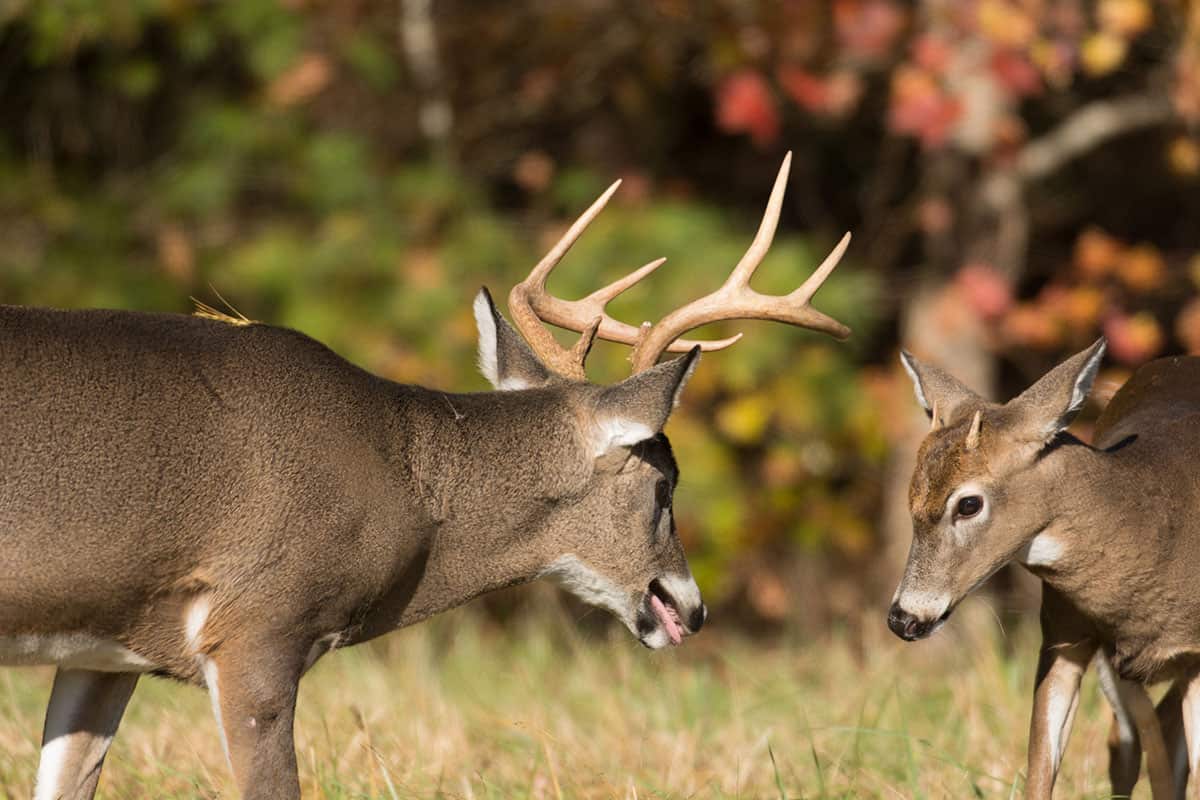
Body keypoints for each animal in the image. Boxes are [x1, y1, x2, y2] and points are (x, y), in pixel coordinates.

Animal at [888, 340, 1200, 796]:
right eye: (910, 499)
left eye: (968, 504)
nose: (903, 618)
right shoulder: (1062, 636)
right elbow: (1040, 769)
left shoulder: (1196, 657)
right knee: (1132, 741)